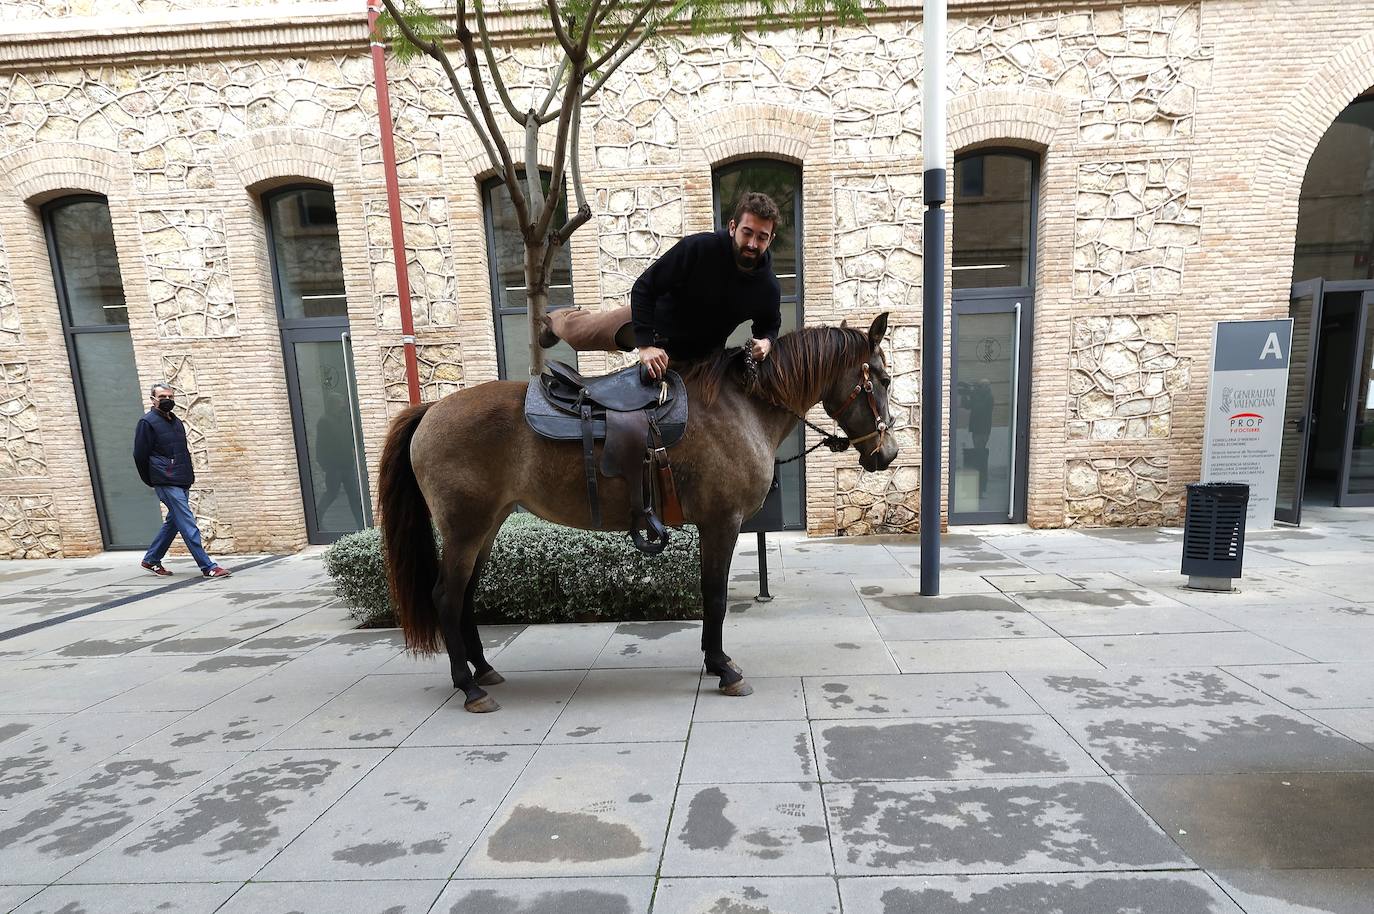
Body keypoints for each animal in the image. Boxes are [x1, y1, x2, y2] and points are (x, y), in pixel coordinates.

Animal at [376, 313, 895, 714]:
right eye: (885, 379)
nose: (887, 454)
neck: (741, 405)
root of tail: (431, 410)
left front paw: (712, 660)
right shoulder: (721, 523)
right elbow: (715, 598)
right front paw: (723, 668)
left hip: (487, 525)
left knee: (464, 596)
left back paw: (483, 669)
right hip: (466, 528)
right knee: (446, 597)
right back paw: (469, 687)